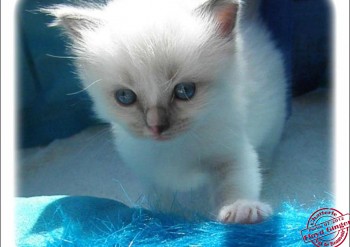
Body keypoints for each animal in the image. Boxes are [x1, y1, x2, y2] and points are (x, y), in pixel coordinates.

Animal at [43, 0, 286, 224]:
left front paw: (241, 210)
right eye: (125, 97)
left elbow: (235, 183)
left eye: (185, 90)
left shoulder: (231, 153)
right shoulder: (150, 175)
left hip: (274, 118)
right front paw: (163, 220)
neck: (173, 148)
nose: (155, 127)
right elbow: (162, 202)